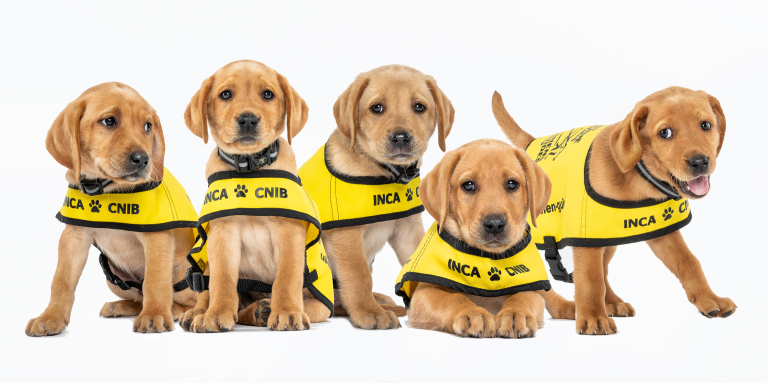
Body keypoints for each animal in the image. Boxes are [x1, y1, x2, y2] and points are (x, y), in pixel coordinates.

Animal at [26, 83, 198, 336]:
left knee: (188, 298)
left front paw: (155, 314)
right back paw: (122, 306)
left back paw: (174, 310)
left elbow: (155, 280)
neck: (106, 189)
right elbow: (61, 280)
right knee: (138, 296)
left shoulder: (156, 239)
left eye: (147, 126)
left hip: (184, 270)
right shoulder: (74, 237)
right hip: (114, 278)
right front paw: (50, 316)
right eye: (109, 121)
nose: (143, 159)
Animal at [183, 60, 336, 332]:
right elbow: (222, 280)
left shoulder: (289, 232)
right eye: (225, 94)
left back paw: (264, 310)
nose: (247, 119)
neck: (250, 167)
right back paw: (202, 312)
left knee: (306, 304)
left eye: (268, 94)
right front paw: (216, 313)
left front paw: (286, 312)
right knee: (210, 291)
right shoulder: (223, 234)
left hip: (320, 303)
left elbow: (286, 277)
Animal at [298, 65, 456, 330]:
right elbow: (359, 275)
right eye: (377, 108)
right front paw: (368, 312)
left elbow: (414, 262)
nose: (401, 138)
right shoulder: (346, 235)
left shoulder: (407, 229)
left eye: (419, 107)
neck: (383, 173)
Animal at [396, 124, 552, 338]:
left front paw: (514, 313)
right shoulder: (423, 296)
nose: (494, 224)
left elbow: (523, 296)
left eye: (512, 184)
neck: (486, 261)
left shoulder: (531, 290)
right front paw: (471, 313)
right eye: (468, 185)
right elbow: (452, 299)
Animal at [492, 88, 736, 336]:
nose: (700, 162)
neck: (637, 177)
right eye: (665, 133)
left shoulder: (661, 231)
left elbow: (690, 262)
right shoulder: (586, 239)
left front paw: (709, 299)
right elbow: (590, 280)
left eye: (706, 125)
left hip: (607, 238)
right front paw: (593, 317)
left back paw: (612, 303)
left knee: (602, 270)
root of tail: (532, 143)